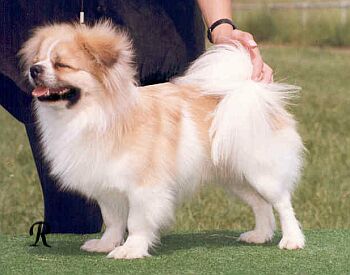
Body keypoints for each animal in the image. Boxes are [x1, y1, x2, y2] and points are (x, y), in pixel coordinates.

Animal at [18, 22, 304, 260]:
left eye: (62, 65)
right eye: (38, 60)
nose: (34, 69)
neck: (96, 115)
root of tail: (248, 89)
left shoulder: (144, 188)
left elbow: (136, 222)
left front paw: (130, 250)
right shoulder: (108, 188)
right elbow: (113, 221)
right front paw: (106, 244)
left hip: (260, 172)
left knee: (281, 202)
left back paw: (292, 240)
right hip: (235, 176)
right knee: (260, 204)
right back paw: (260, 235)